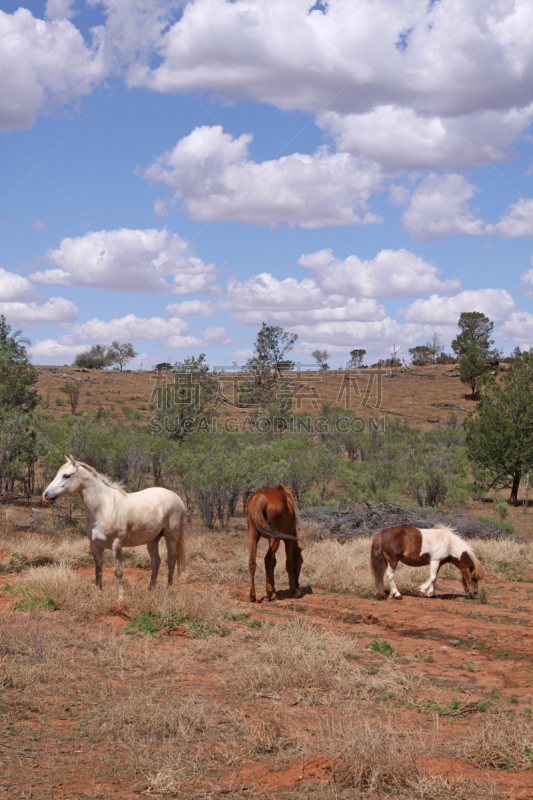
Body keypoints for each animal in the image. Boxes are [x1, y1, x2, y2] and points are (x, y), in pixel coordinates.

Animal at [42, 456, 186, 600]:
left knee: (171, 561)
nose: (45, 496)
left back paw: (167, 590)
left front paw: (121, 597)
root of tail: (178, 499)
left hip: (171, 537)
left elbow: (118, 571)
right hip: (153, 540)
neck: (103, 507)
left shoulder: (116, 544)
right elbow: (98, 570)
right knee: (156, 562)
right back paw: (150, 590)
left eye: (66, 475)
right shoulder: (95, 546)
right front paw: (98, 593)